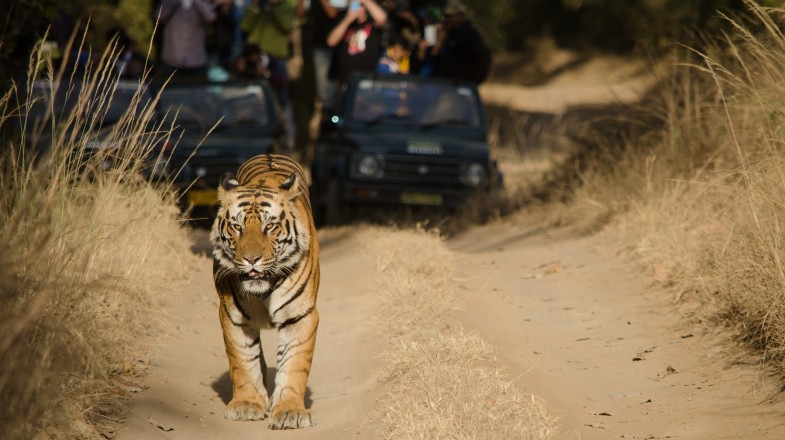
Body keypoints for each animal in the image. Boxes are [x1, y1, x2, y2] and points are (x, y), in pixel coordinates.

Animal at [210, 155, 320, 430]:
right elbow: (243, 361)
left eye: (269, 226)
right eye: (237, 226)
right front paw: (247, 404)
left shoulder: (300, 315)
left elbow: (294, 364)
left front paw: (290, 412)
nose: (251, 260)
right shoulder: (232, 316)